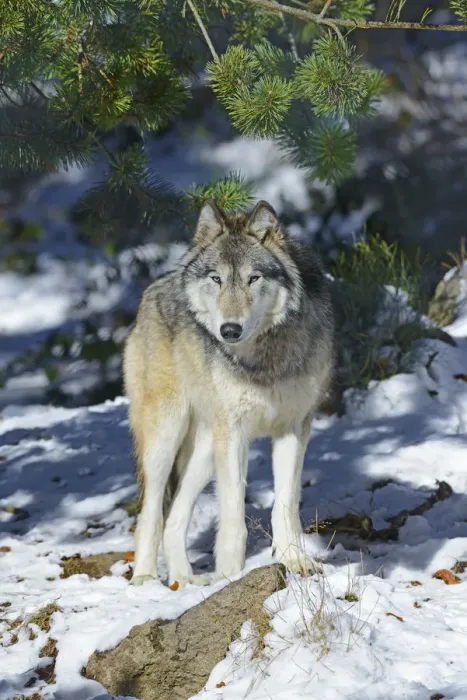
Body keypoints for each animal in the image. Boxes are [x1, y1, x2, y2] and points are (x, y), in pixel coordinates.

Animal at [123, 199, 334, 586]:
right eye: (216, 279)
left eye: (254, 278)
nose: (230, 330)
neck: (264, 359)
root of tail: (152, 289)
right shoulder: (234, 435)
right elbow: (234, 514)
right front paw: (231, 576)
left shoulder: (294, 429)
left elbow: (285, 505)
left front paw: (294, 561)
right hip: (166, 438)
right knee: (150, 514)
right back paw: (145, 579)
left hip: (205, 448)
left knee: (174, 518)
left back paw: (184, 581)